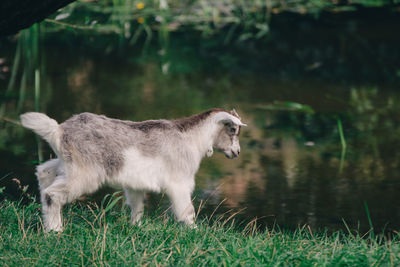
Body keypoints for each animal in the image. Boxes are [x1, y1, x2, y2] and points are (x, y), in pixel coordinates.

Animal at [21, 109, 247, 232]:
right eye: (232, 129)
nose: (237, 152)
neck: (191, 138)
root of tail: (58, 130)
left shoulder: (135, 184)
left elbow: (137, 208)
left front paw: (136, 228)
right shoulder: (179, 183)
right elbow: (186, 212)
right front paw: (195, 232)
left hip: (66, 165)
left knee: (44, 174)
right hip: (84, 173)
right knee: (52, 194)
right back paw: (55, 230)